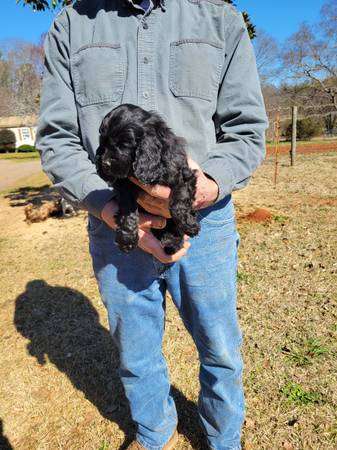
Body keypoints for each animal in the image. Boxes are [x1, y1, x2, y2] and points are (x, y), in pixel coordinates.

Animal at [94, 103, 200, 255]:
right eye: (103, 143)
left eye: (124, 144)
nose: (105, 164)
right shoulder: (123, 185)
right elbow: (127, 208)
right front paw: (127, 239)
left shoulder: (183, 175)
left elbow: (178, 202)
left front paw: (189, 225)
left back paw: (172, 242)